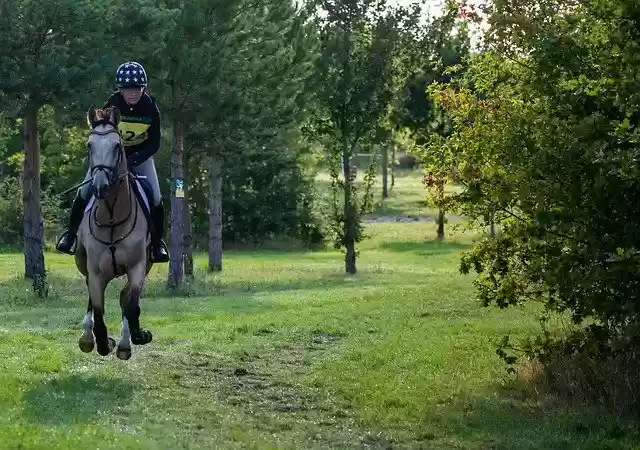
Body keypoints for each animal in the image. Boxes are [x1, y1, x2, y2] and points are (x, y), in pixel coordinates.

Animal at [74, 106, 154, 360]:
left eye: (117, 146)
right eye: (89, 145)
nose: (99, 186)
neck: (111, 218)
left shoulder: (138, 267)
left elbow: (131, 305)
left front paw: (136, 336)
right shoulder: (96, 271)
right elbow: (98, 309)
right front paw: (100, 342)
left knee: (125, 299)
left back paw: (126, 343)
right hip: (85, 264)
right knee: (93, 298)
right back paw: (88, 337)